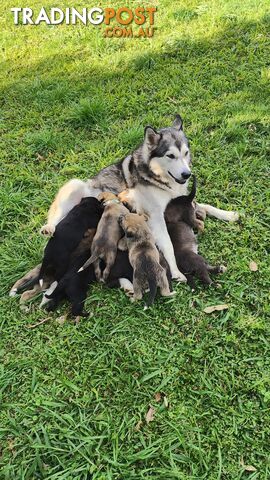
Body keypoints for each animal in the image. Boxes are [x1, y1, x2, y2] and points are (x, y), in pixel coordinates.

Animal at [9, 116, 238, 294]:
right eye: (170, 155)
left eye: (186, 153)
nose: (186, 174)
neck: (159, 177)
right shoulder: (156, 216)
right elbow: (169, 246)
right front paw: (176, 271)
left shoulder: (181, 198)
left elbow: (206, 205)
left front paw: (228, 214)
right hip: (73, 185)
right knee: (55, 221)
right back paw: (48, 228)